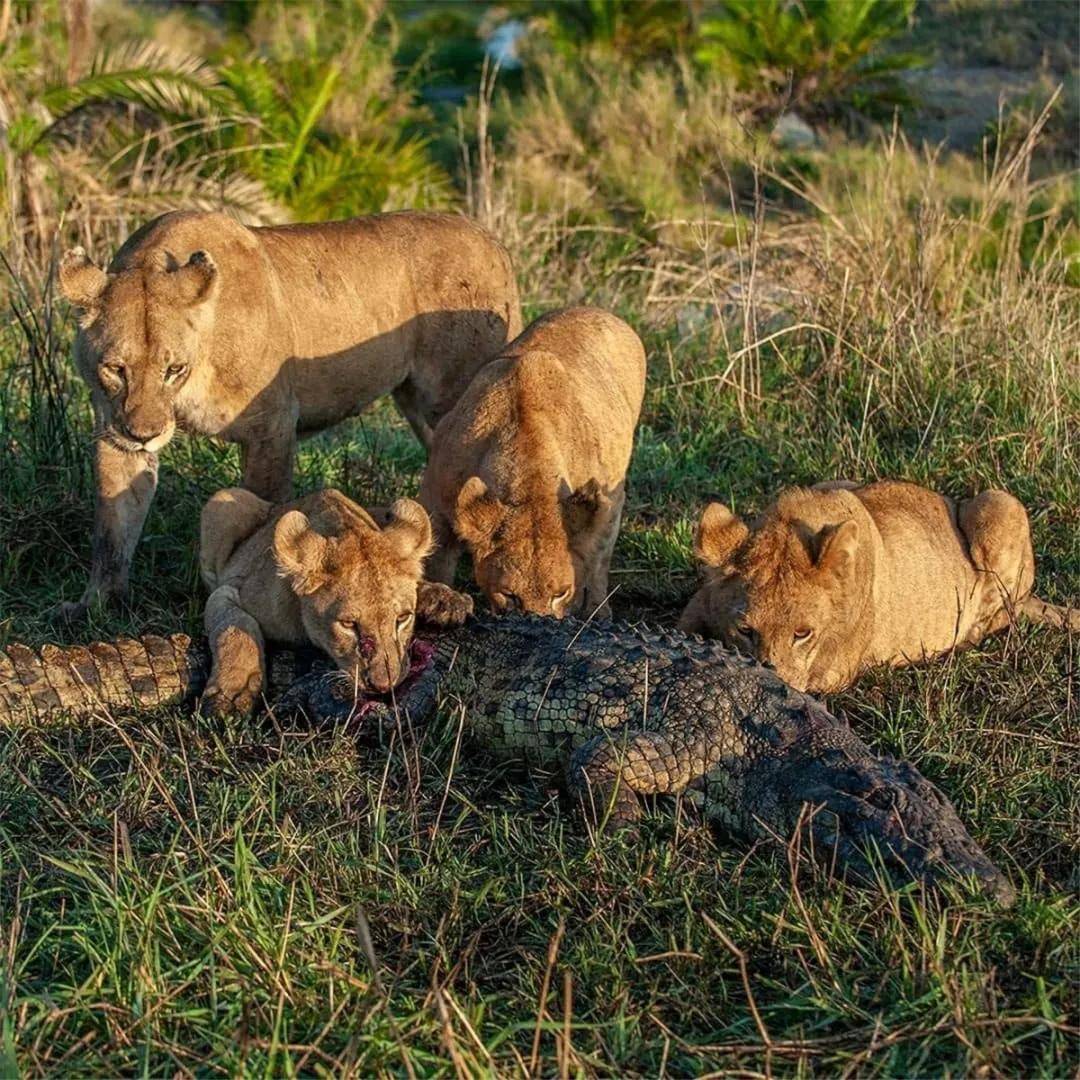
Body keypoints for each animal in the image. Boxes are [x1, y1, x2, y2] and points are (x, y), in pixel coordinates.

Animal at [56, 208, 520, 626]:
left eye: (173, 369)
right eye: (116, 369)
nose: (144, 435)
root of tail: (492, 239)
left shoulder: (271, 425)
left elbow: (266, 513)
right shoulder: (112, 426)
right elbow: (114, 524)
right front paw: (95, 605)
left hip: (456, 398)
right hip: (417, 406)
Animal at [200, 486, 470, 712]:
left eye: (402, 618)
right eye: (348, 624)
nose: (384, 687)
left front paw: (441, 599)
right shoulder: (231, 589)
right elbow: (235, 628)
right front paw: (231, 695)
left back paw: (444, 600)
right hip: (225, 500)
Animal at [419, 308, 639, 622]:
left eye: (561, 594)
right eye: (509, 594)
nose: (537, 623)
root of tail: (600, 310)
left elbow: (595, 556)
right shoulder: (437, 503)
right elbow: (434, 557)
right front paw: (441, 601)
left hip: (612, 496)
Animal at [678, 479, 1075, 691]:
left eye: (803, 634)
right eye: (745, 630)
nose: (773, 686)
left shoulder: (836, 671)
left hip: (998, 504)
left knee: (1003, 612)